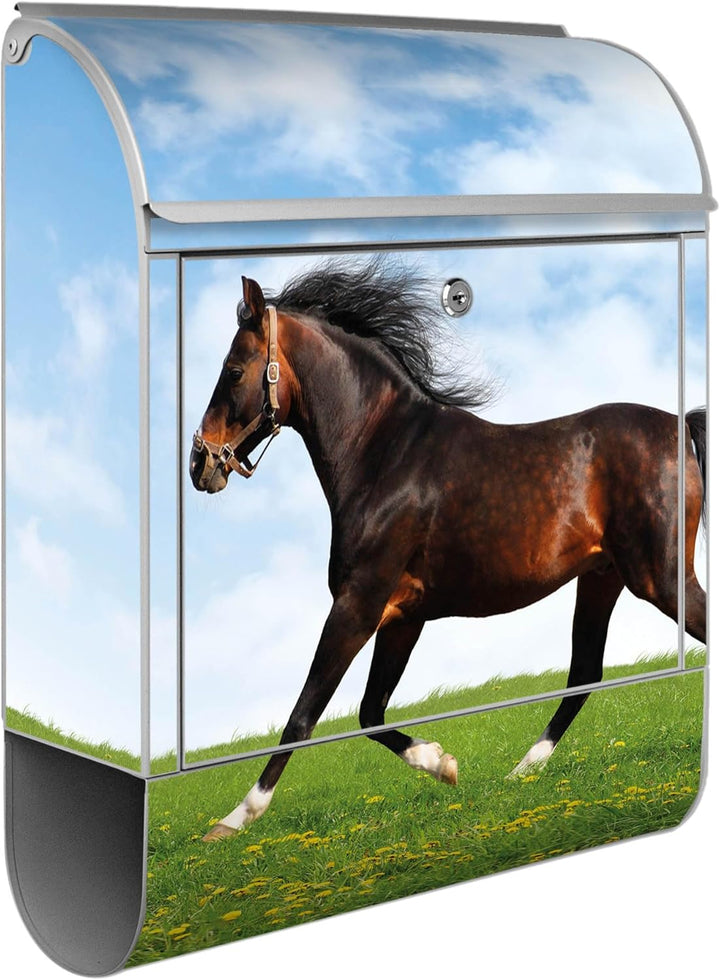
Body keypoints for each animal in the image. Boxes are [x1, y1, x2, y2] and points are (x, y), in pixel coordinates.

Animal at [189, 260, 707, 841]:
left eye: (234, 371)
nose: (199, 464)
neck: (386, 454)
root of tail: (680, 426)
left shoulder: (356, 605)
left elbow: (304, 715)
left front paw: (234, 820)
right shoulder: (401, 618)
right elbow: (370, 712)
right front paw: (444, 764)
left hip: (659, 579)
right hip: (602, 578)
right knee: (583, 673)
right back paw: (520, 771)